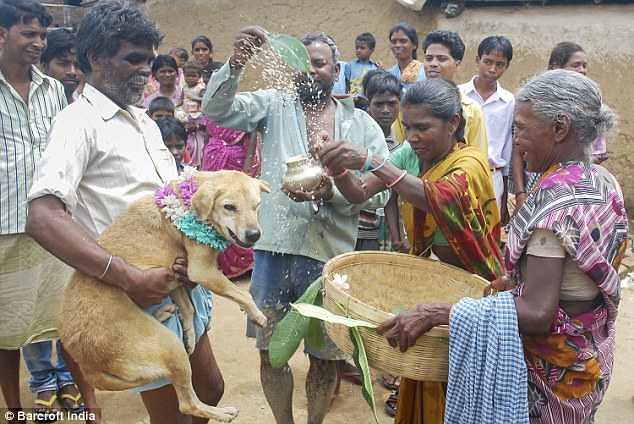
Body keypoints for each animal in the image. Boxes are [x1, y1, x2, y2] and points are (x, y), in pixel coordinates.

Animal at [58, 171, 268, 422]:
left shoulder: (173, 275)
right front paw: (257, 315)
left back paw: (163, 313)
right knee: (188, 404)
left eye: (257, 205)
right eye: (229, 207)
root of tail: (84, 362)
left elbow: (188, 308)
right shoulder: (201, 271)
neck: (188, 203)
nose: (254, 235)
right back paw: (221, 413)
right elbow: (243, 295)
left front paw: (190, 334)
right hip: (171, 348)